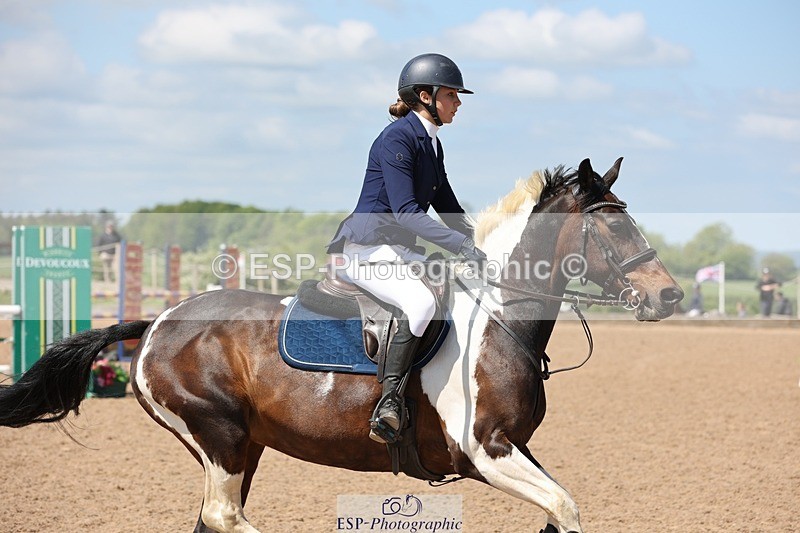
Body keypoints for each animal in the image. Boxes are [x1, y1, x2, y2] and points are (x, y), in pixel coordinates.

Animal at [0, 158, 683, 533]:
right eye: (615, 226)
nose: (670, 296)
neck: (498, 315)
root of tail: (156, 323)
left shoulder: (516, 448)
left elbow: (560, 510)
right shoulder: (486, 451)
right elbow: (565, 508)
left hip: (240, 445)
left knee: (211, 518)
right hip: (218, 435)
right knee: (225, 517)